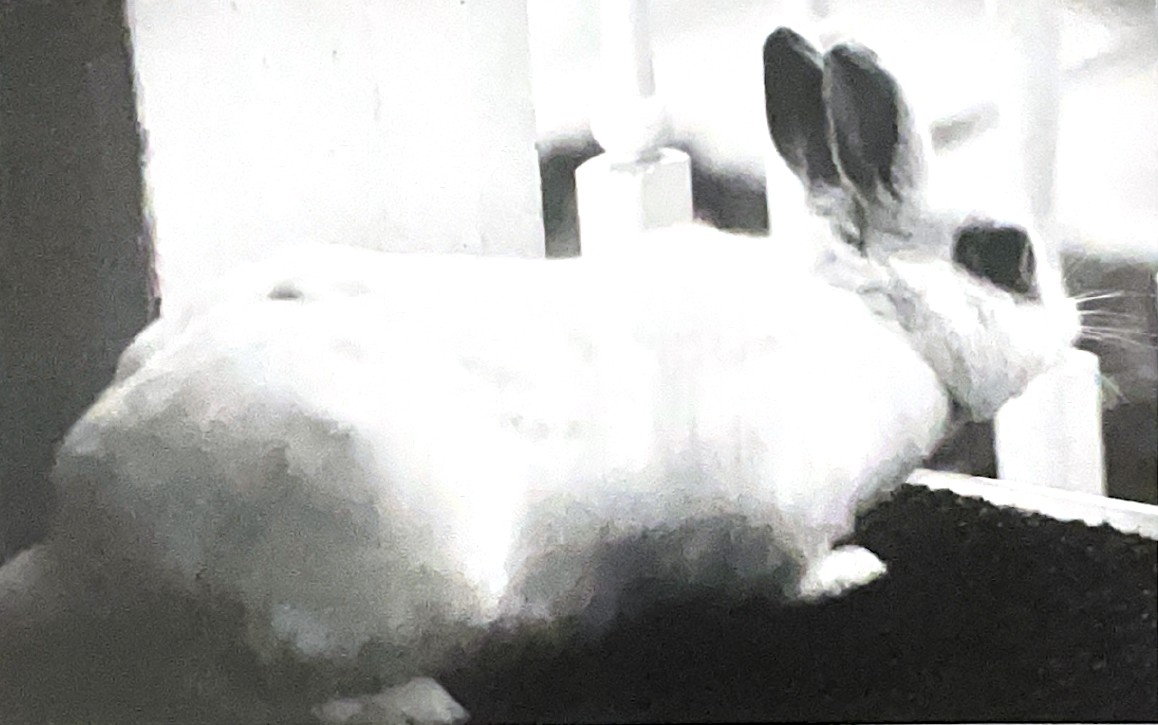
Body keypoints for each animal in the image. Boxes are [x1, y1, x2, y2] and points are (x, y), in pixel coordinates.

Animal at [4, 28, 1079, 722]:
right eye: (1004, 255)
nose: (1074, 327)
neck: (873, 311)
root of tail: (89, 538)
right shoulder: (779, 514)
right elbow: (786, 573)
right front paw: (853, 572)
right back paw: (418, 706)